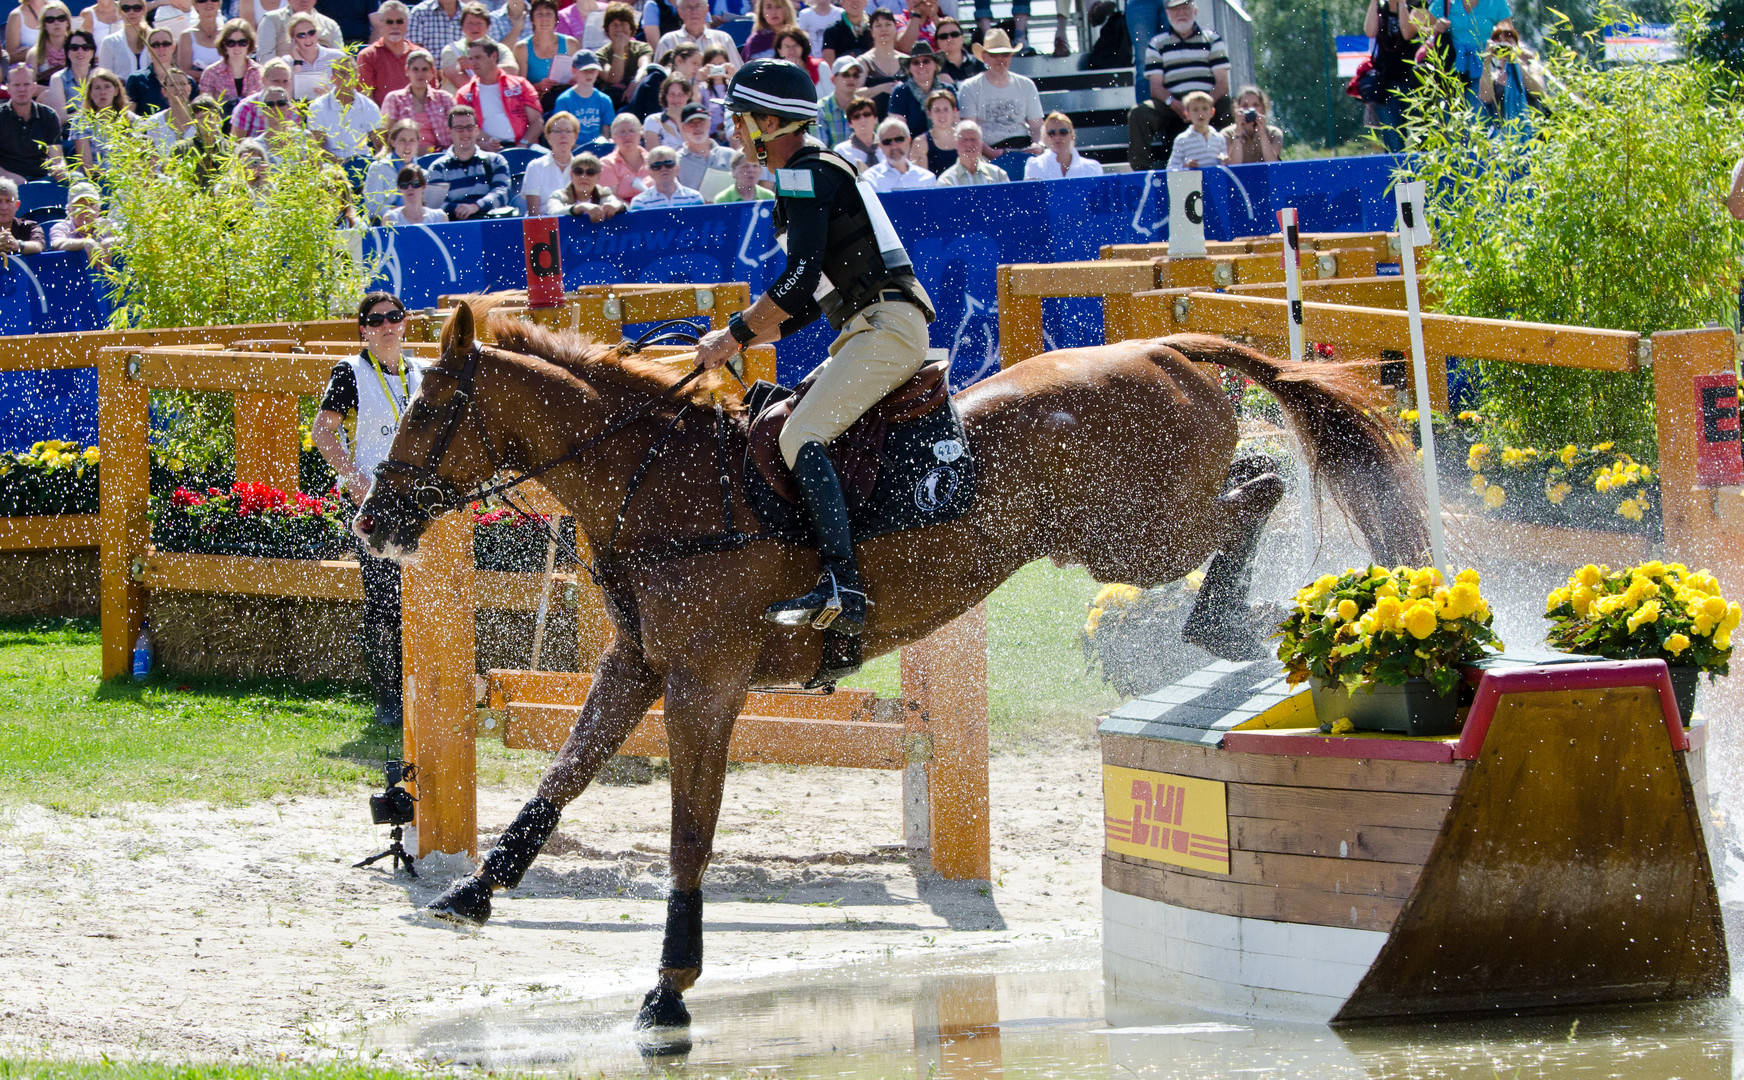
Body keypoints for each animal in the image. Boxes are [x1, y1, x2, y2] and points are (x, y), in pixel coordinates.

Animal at [357, 300, 1430, 1032]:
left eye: (432, 408)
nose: (372, 521)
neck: (654, 480)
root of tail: (1163, 348)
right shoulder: (639, 663)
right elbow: (566, 771)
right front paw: (478, 889)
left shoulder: (706, 679)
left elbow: (688, 833)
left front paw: (671, 982)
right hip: (1137, 528)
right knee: (1257, 478)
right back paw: (1237, 622)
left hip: (1132, 537)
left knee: (1264, 486)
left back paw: (1234, 621)